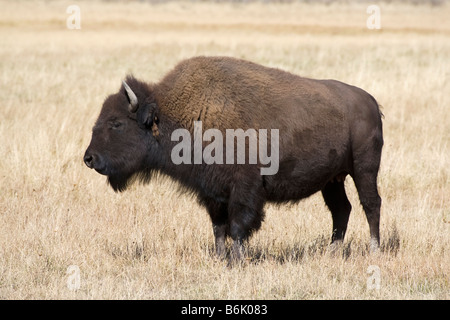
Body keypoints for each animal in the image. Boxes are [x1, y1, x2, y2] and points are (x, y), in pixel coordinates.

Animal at [84, 57, 384, 262]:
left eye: (117, 123)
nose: (89, 158)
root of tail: (370, 101)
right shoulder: (213, 192)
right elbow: (218, 227)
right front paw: (220, 258)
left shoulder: (244, 189)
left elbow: (238, 225)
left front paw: (236, 260)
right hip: (332, 179)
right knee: (341, 209)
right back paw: (332, 252)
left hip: (364, 170)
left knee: (370, 205)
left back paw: (374, 250)